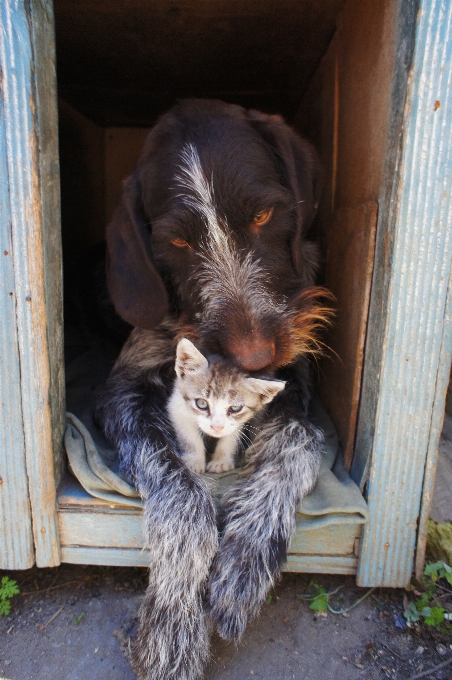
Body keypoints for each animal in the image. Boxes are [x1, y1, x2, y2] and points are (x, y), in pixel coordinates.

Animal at [168, 338, 288, 472]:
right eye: (202, 403)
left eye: (235, 408)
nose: (217, 427)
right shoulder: (177, 407)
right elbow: (190, 437)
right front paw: (194, 461)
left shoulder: (238, 421)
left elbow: (231, 437)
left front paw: (221, 461)